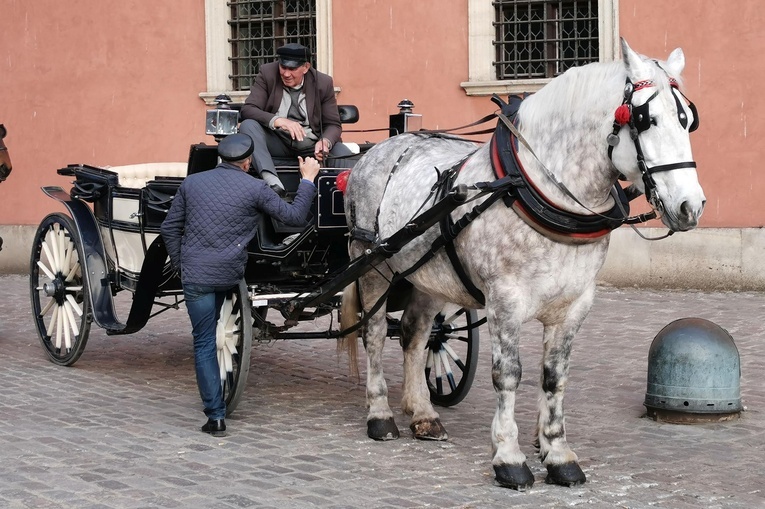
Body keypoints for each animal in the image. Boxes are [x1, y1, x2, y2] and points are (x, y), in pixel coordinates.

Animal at [340, 40, 704, 488]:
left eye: (688, 122)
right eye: (645, 119)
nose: (691, 206)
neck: (539, 190)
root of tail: (382, 147)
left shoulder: (575, 305)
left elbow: (554, 376)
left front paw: (557, 453)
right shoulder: (505, 300)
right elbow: (508, 374)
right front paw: (509, 456)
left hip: (430, 274)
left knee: (415, 334)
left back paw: (424, 414)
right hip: (371, 263)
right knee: (374, 334)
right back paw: (380, 415)